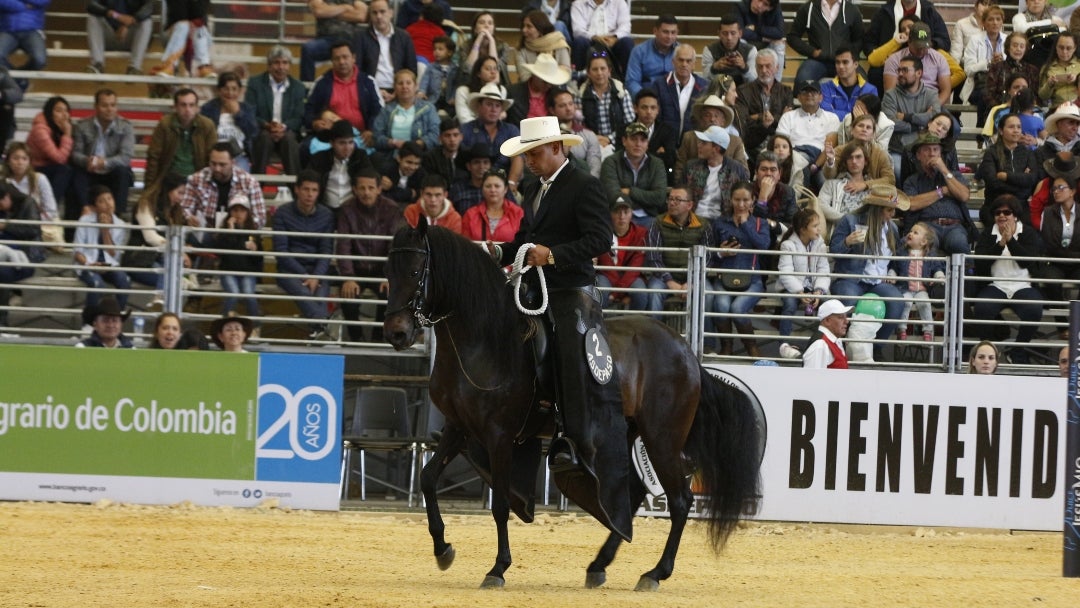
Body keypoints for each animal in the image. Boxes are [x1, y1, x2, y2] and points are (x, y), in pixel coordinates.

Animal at [384, 223, 764, 591]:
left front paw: (498, 568)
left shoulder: (498, 435)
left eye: (416, 270)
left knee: (681, 499)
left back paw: (655, 573)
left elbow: (502, 503)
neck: (487, 340)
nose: (396, 333)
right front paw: (443, 549)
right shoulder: (458, 426)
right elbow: (428, 479)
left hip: (662, 439)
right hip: (627, 434)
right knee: (632, 494)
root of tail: (688, 354)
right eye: (388, 271)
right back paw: (599, 565)